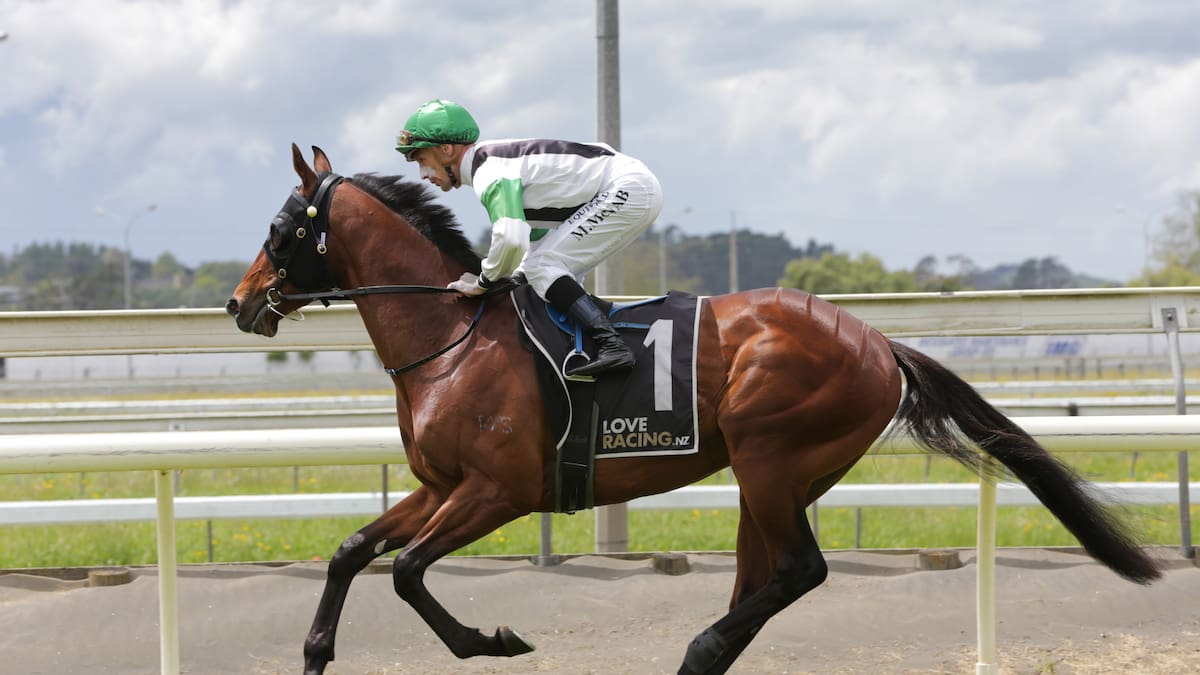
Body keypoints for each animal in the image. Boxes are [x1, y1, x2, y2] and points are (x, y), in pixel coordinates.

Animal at [226, 144, 1161, 675]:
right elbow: (352, 551)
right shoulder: (441, 483)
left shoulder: (499, 490)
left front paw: (496, 640)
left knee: (798, 571)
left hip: (771, 456)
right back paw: (706, 652)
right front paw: (315, 652)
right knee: (769, 576)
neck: (452, 336)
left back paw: (699, 647)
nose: (239, 303)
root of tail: (876, 339)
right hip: (776, 475)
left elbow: (410, 572)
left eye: (279, 227)